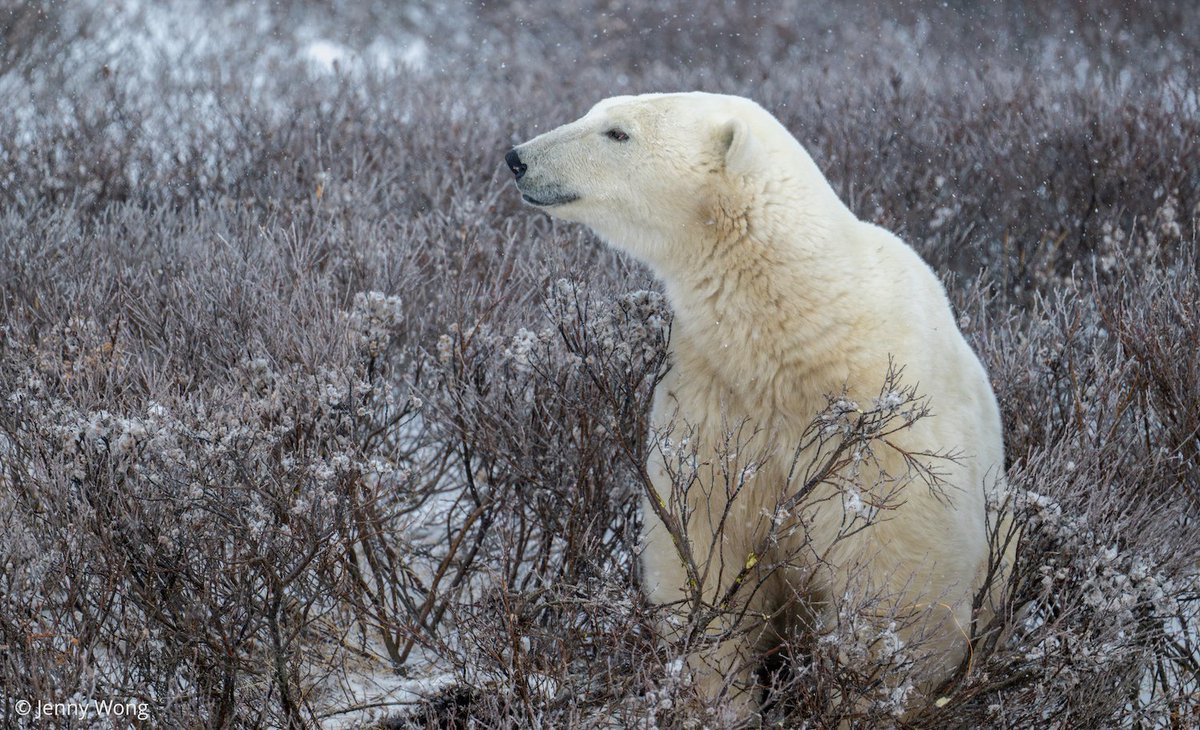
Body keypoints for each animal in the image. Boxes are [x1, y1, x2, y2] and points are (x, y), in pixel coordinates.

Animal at [501, 91, 1008, 720]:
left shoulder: (882, 433)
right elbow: (706, 554)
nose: (517, 158)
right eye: (597, 111)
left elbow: (895, 583)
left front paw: (864, 700)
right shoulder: (714, 400)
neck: (801, 330)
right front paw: (721, 702)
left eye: (618, 133)